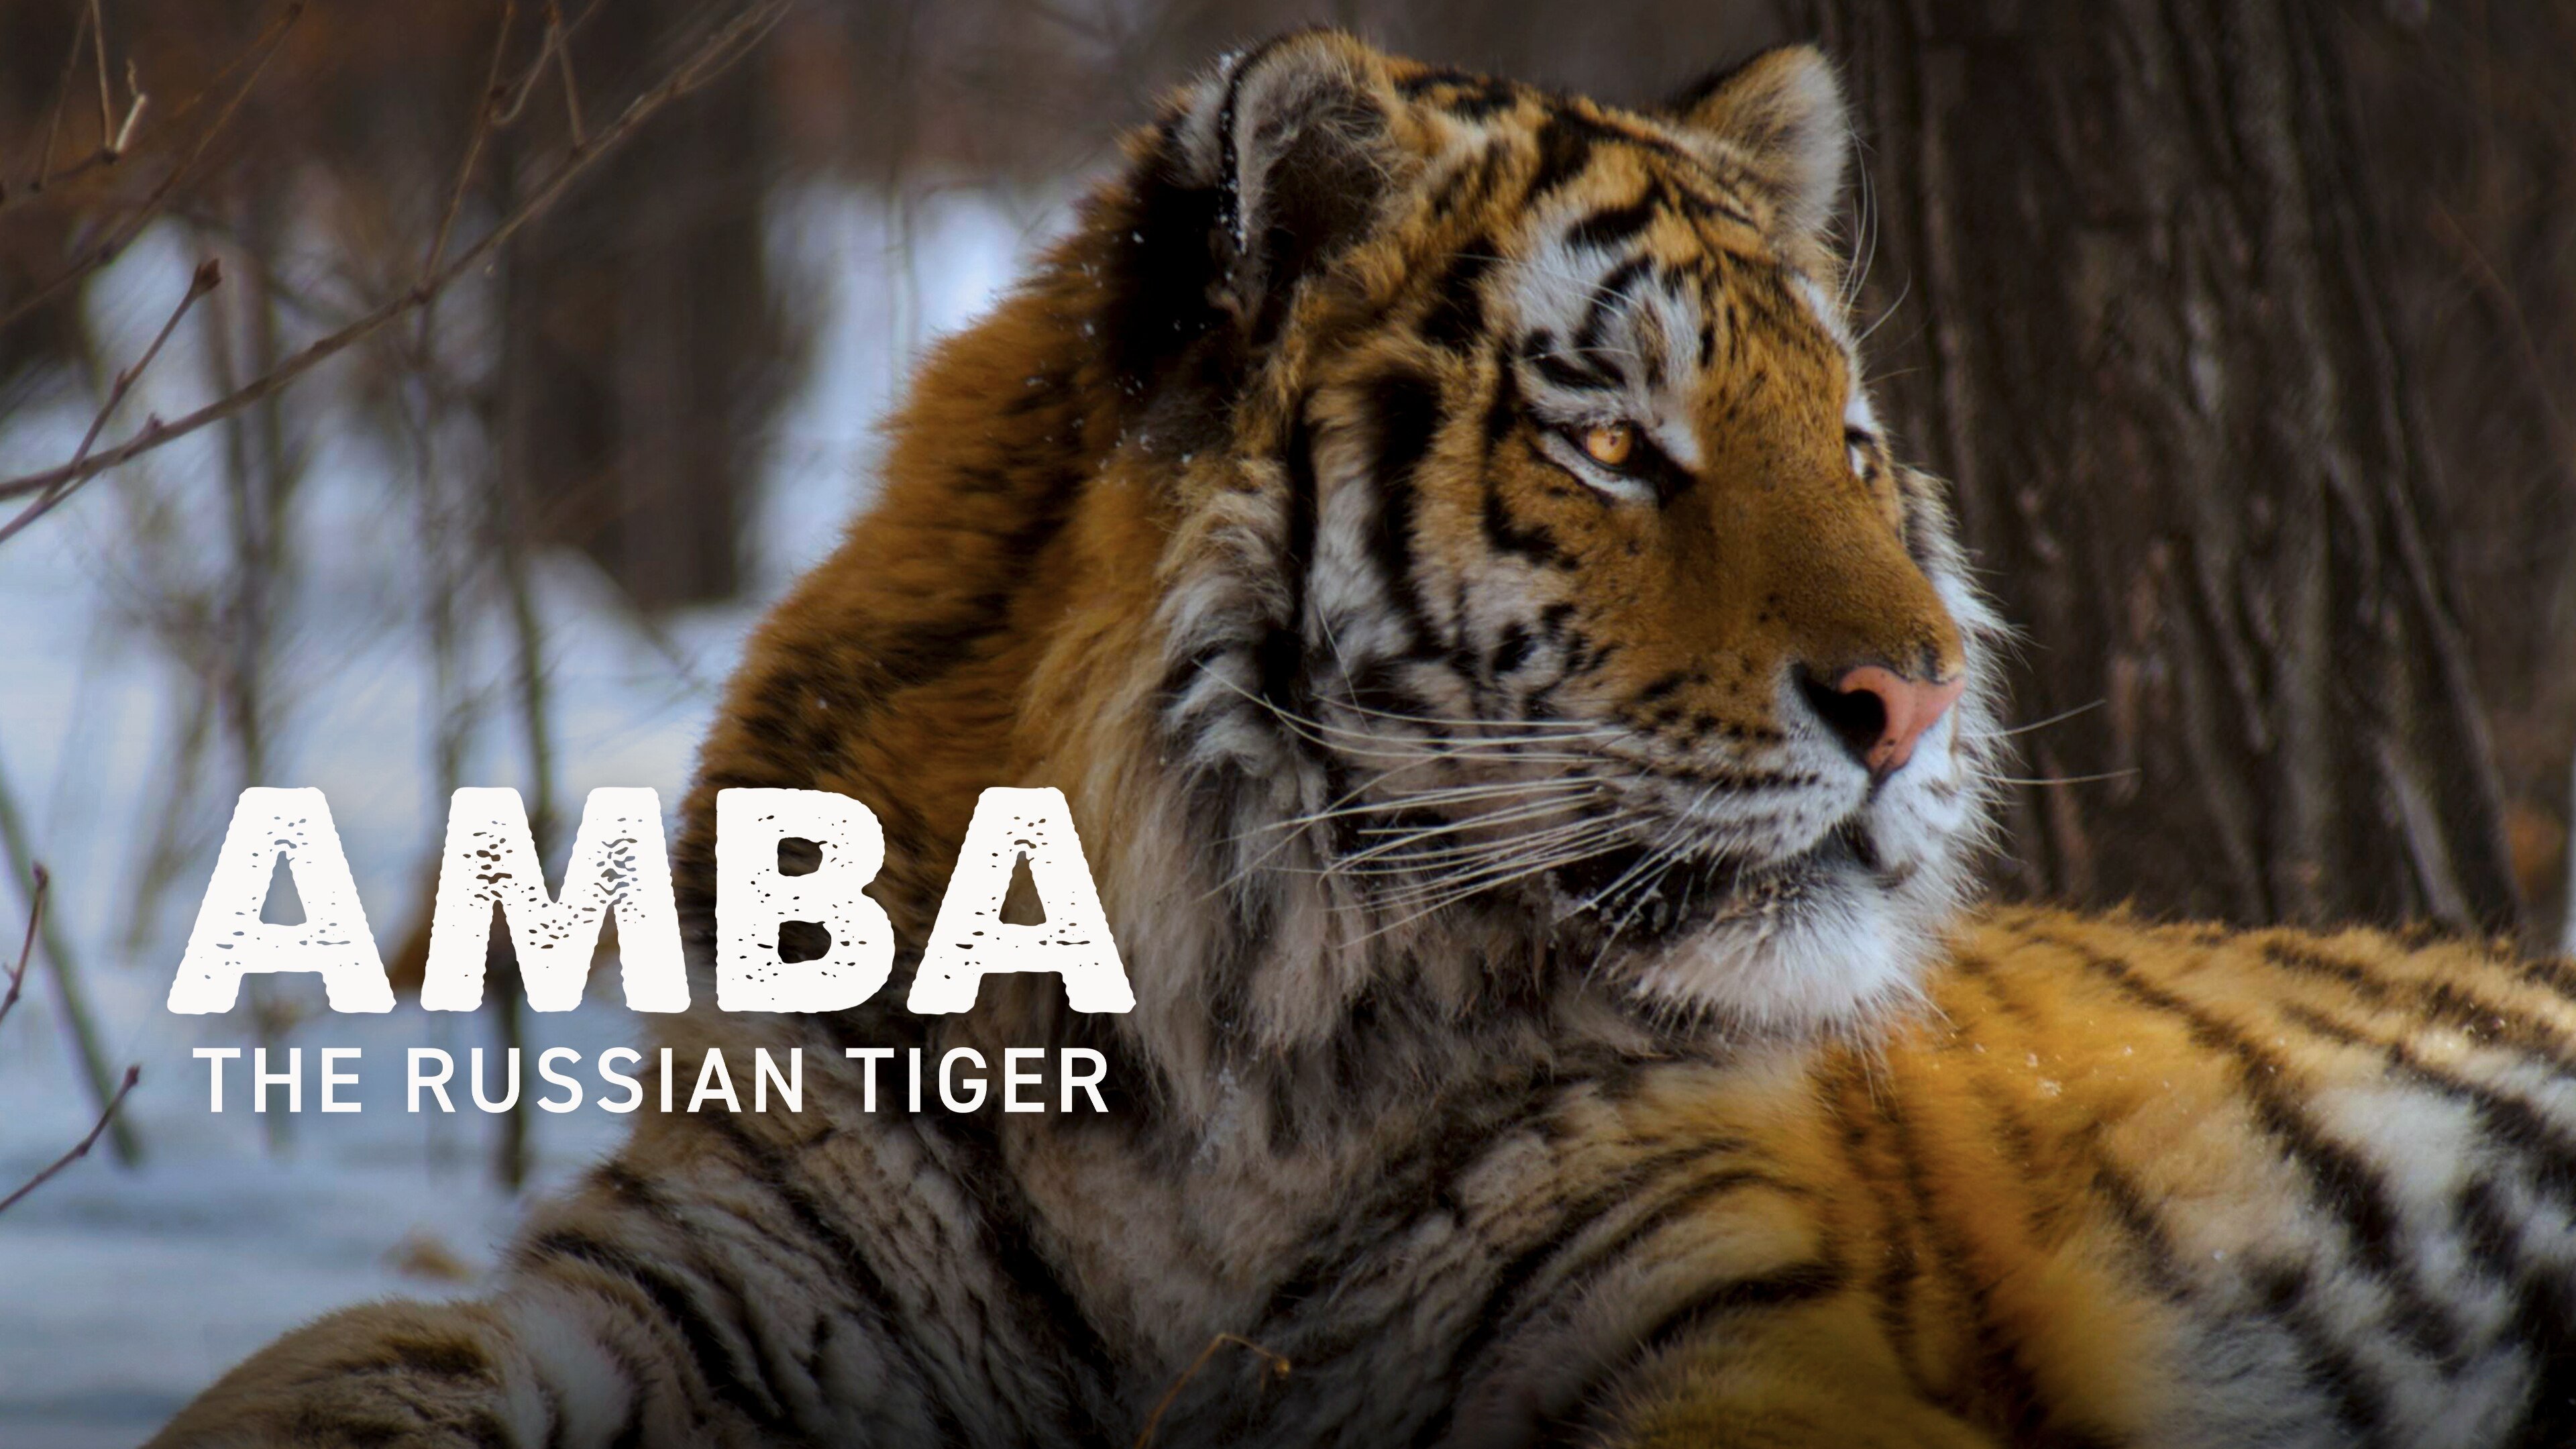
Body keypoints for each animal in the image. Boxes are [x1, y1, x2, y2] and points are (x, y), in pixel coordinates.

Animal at [149, 29, 2576, 1449]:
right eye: (1614, 441)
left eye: (1857, 445)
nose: (1926, 700)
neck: (1227, 1074)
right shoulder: (714, 1276)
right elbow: (346, 1367)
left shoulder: (1738, 1331)